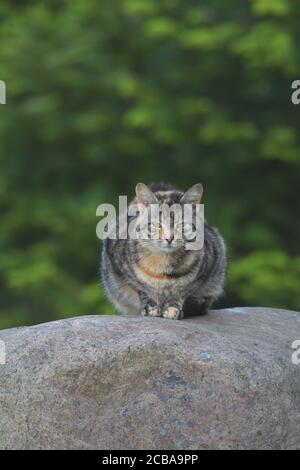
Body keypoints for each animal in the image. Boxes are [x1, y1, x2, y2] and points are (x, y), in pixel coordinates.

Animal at [99, 182, 226, 322]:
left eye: (181, 224)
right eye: (157, 224)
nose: (169, 238)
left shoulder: (203, 273)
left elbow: (181, 292)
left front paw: (172, 308)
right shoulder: (122, 270)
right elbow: (141, 289)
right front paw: (150, 308)